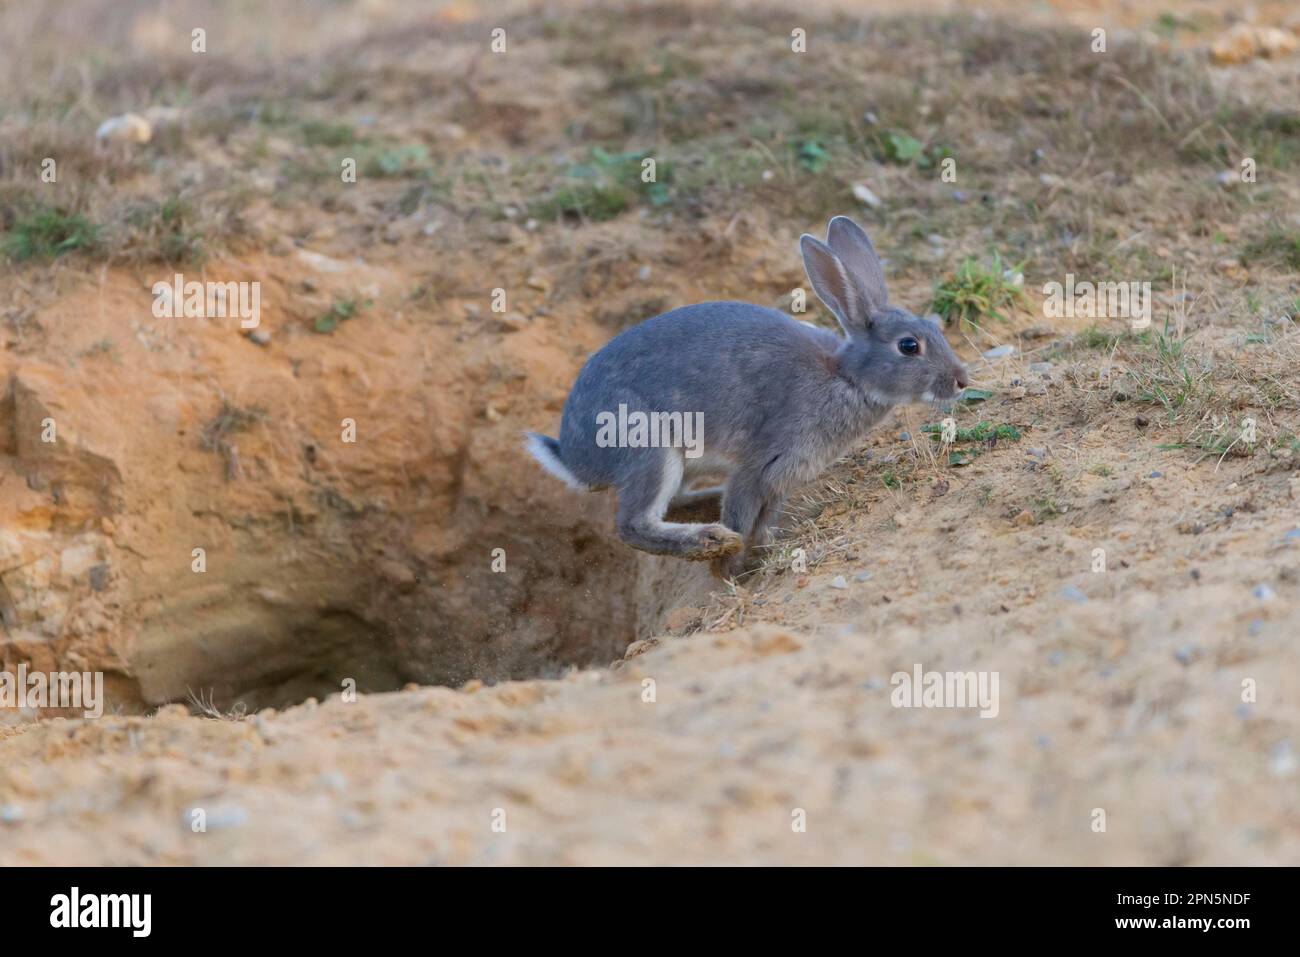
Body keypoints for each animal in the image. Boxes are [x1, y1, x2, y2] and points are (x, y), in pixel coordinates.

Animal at [525, 214, 967, 579]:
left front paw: (762, 552)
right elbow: (742, 511)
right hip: (648, 445)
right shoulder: (761, 464)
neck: (847, 377)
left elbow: (767, 520)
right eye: (909, 346)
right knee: (634, 525)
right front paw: (732, 570)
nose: (962, 379)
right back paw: (710, 539)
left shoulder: (782, 478)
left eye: (935, 327)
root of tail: (576, 459)